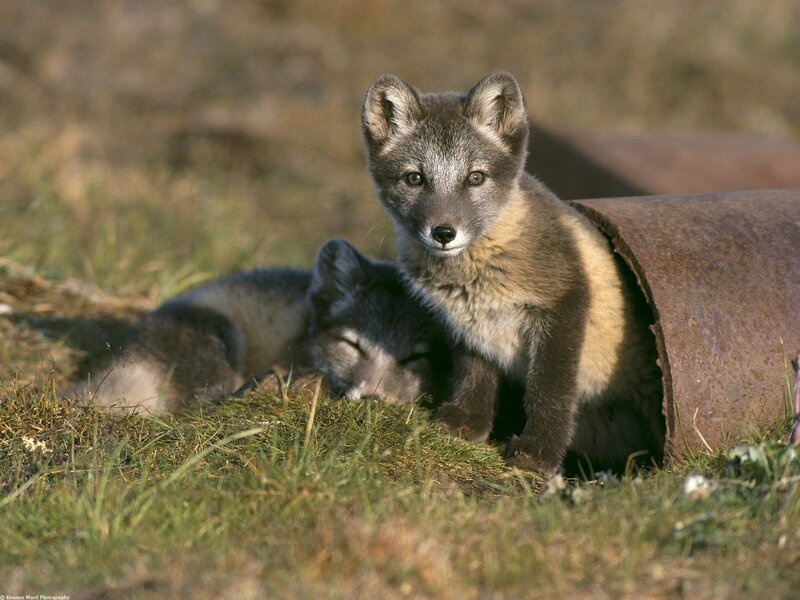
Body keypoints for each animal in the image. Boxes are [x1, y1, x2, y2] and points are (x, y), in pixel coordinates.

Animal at [362, 71, 664, 474]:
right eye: (414, 179)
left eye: (475, 178)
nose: (443, 233)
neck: (475, 273)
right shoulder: (468, 323)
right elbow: (474, 373)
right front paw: (469, 423)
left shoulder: (564, 299)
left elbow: (548, 390)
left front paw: (538, 453)